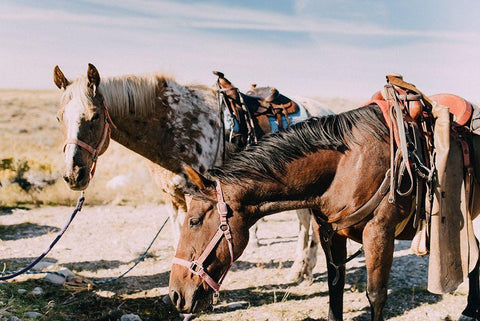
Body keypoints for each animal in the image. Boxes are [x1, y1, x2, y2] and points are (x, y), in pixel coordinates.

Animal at [53, 63, 330, 278]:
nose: (73, 174)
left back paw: (301, 268)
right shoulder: (171, 198)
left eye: (95, 116)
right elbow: (180, 238)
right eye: (58, 117)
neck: (173, 128)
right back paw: (302, 270)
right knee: (305, 219)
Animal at [168, 104, 480, 318]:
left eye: (194, 221)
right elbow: (335, 288)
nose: (175, 295)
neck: (347, 165)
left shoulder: (379, 233)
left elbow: (376, 294)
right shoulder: (330, 233)